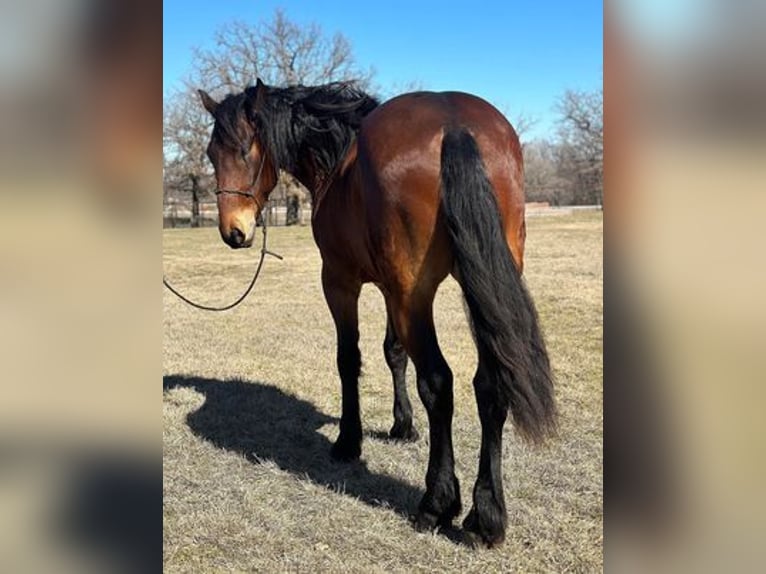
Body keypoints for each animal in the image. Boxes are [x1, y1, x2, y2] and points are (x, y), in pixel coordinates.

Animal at [198, 79, 560, 548]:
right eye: (211, 154)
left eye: (244, 150)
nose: (233, 232)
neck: (339, 158)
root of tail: (454, 124)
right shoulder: (393, 290)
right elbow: (394, 353)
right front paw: (401, 426)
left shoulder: (340, 282)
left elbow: (348, 360)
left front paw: (348, 441)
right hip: (476, 285)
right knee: (491, 383)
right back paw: (487, 516)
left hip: (414, 295)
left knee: (438, 383)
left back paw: (436, 503)